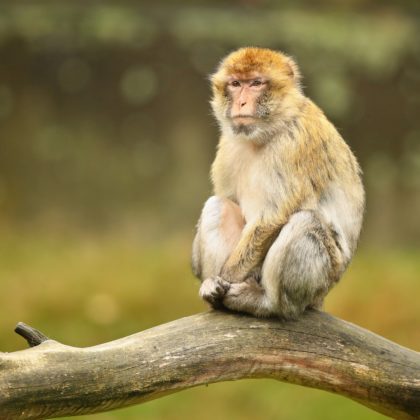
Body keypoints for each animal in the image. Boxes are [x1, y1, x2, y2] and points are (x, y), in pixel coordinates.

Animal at [191, 46, 364, 318]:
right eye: (236, 84)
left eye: (256, 83)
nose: (241, 102)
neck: (268, 130)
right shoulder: (228, 145)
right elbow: (228, 200)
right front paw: (209, 278)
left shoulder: (294, 144)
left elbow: (272, 218)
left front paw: (227, 277)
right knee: (218, 205)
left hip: (320, 282)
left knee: (306, 222)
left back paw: (266, 302)